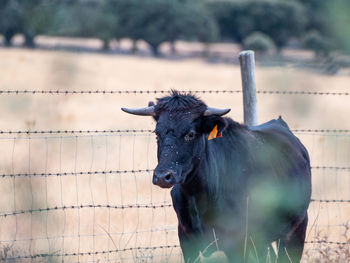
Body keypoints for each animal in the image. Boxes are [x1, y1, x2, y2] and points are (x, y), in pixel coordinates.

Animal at [123, 92, 312, 263]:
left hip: (296, 230)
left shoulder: (239, 244)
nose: (163, 176)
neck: (199, 197)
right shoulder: (186, 239)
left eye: (190, 134)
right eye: (157, 134)